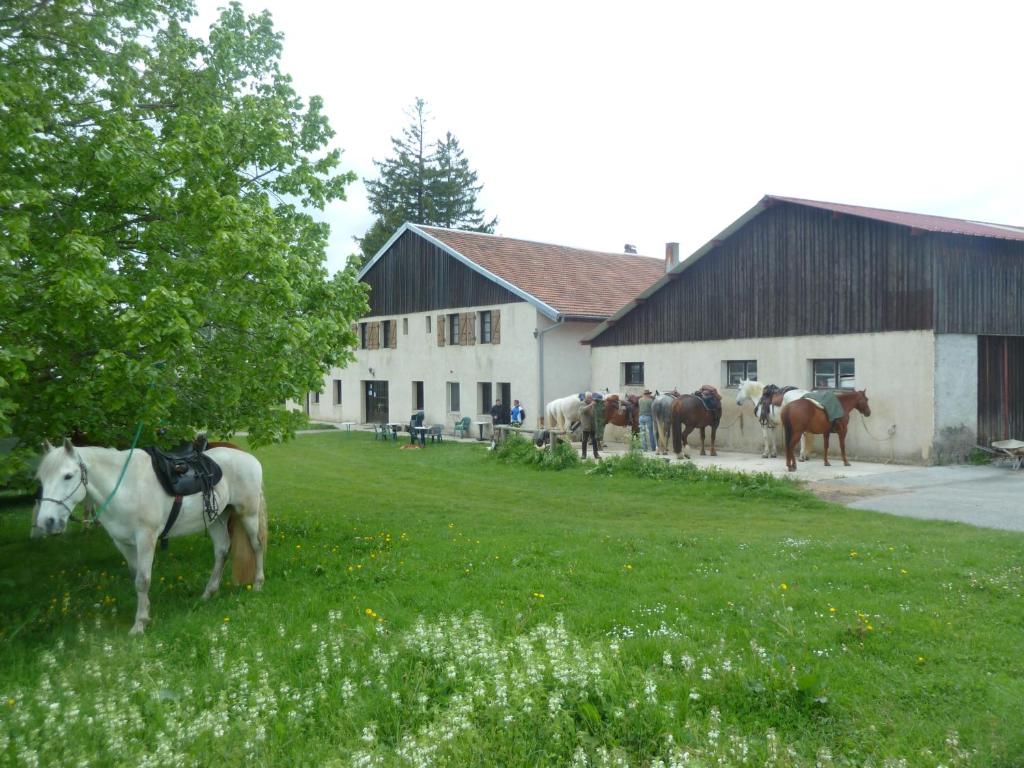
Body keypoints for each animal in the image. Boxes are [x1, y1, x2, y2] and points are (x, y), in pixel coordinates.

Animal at [35, 442, 268, 634]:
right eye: (41, 479)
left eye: (68, 476)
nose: (47, 522)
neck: (125, 486)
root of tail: (249, 458)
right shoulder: (123, 543)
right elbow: (136, 577)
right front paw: (145, 614)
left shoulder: (146, 538)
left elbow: (143, 580)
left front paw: (139, 625)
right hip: (217, 519)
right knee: (221, 551)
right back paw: (208, 593)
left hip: (248, 514)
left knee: (256, 546)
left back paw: (258, 584)